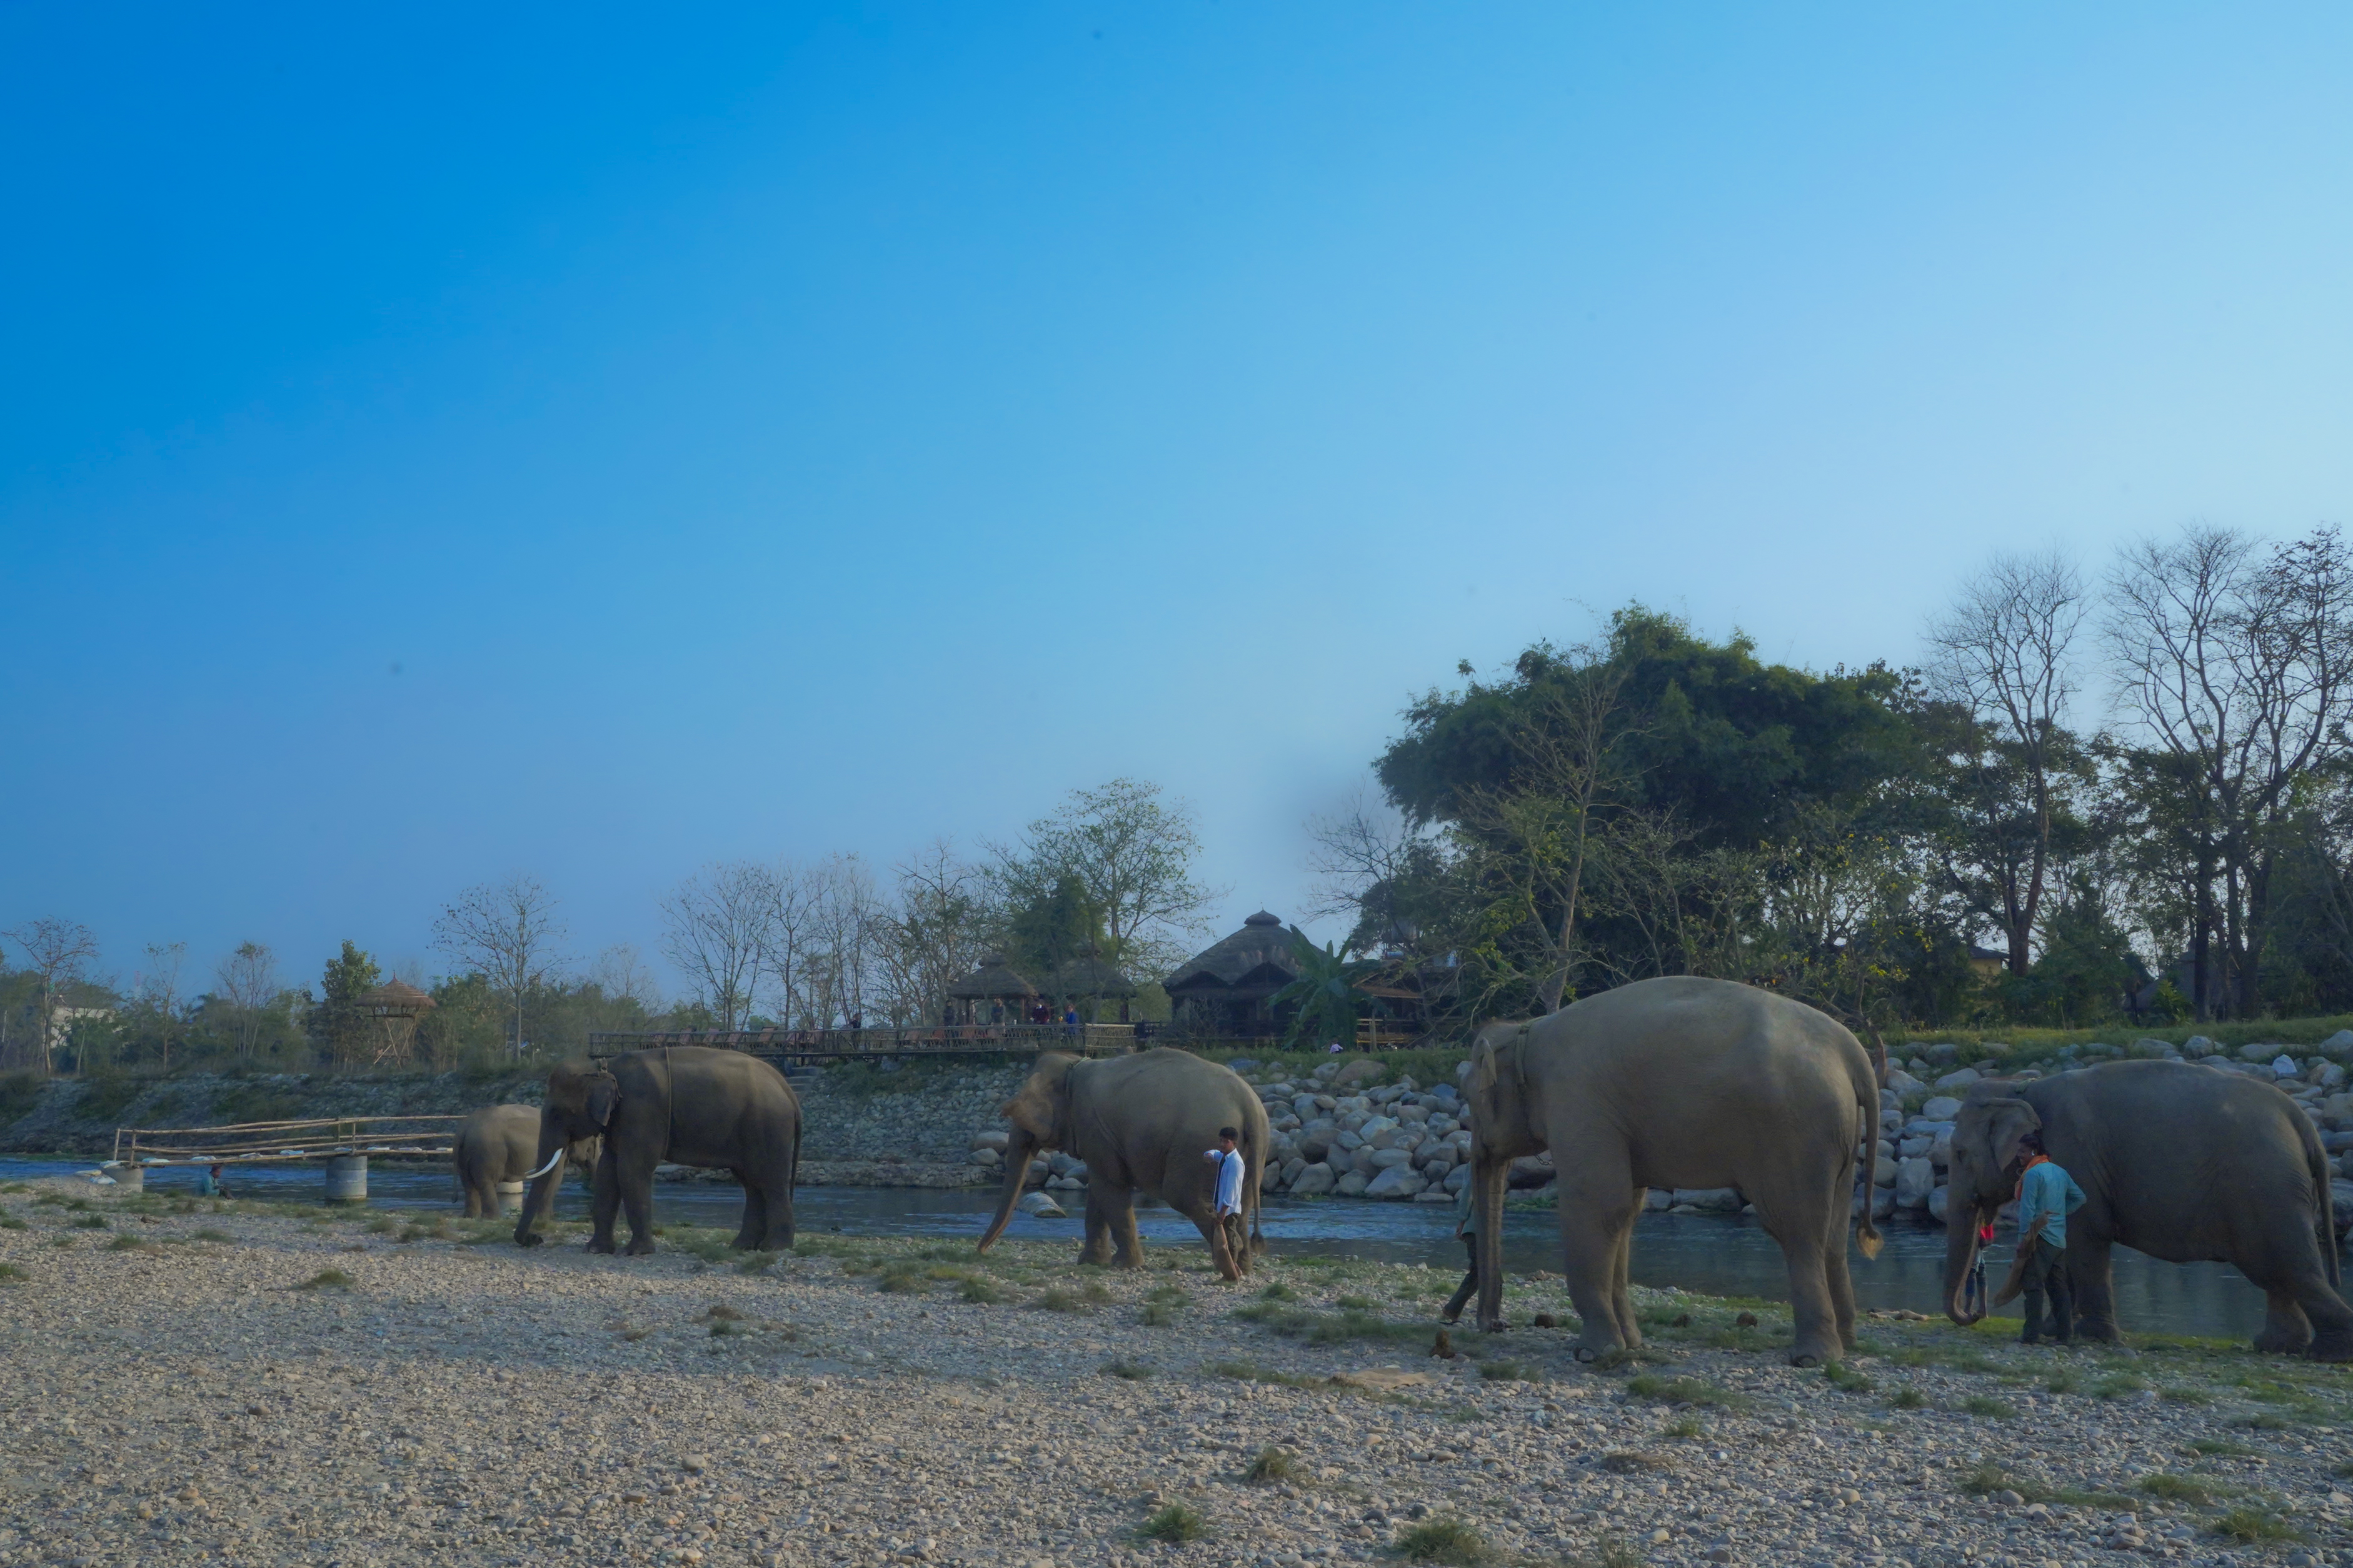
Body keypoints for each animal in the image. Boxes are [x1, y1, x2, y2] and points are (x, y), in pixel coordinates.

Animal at [454, 1103, 599, 1220]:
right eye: (594, 1141)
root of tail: (464, 1130)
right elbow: (554, 1177)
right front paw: (545, 1219)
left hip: (465, 1156)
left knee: (468, 1184)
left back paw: (471, 1217)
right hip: (488, 1152)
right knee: (486, 1183)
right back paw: (493, 1218)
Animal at [514, 1046, 802, 1256]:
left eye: (557, 1113)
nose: (535, 1238)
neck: (604, 1067)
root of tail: (787, 1088)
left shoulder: (641, 1110)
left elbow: (631, 1170)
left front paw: (637, 1252)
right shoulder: (621, 1120)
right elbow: (608, 1173)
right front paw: (595, 1250)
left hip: (769, 1127)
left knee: (771, 1181)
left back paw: (774, 1248)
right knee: (752, 1183)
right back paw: (742, 1246)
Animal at [976, 1048, 1272, 1280]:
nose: (981, 1251)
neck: (1073, 1065)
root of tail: (1250, 1105)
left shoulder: (1094, 1129)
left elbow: (1109, 1186)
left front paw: (1123, 1266)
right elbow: (1099, 1192)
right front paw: (1091, 1263)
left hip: (1196, 1146)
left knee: (1185, 1199)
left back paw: (1228, 1268)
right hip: (1250, 1153)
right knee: (1242, 1205)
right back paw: (1243, 1267)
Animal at [1464, 976, 1884, 1365]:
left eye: (1469, 1100)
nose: (1493, 1325)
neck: (1528, 1030)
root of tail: (1853, 1052)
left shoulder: (1577, 1101)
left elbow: (1597, 1204)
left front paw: (1593, 1353)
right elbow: (1624, 1214)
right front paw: (1632, 1345)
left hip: (1797, 1134)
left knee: (1797, 1230)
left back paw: (1812, 1358)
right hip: (1840, 1138)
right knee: (1832, 1236)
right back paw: (1847, 1343)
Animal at [1941, 1062, 2351, 1359]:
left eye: (1960, 1154)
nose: (1975, 1313)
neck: (2021, 1086)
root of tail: (2302, 1121)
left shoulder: (2075, 1157)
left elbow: (2085, 1238)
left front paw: (2095, 1338)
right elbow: (2069, 1250)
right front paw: (2056, 1331)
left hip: (2268, 1188)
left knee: (2290, 1267)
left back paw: (2327, 1353)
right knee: (2277, 1273)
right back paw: (2277, 1347)